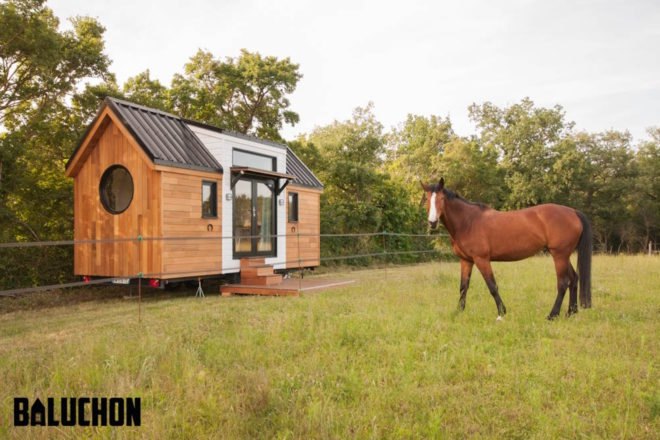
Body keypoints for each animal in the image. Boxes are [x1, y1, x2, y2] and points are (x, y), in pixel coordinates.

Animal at [421, 178, 592, 320]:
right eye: (427, 199)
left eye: (442, 199)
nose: (432, 222)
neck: (468, 222)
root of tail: (573, 212)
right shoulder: (466, 260)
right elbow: (463, 287)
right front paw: (459, 312)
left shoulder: (481, 259)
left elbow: (492, 286)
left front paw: (501, 313)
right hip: (564, 255)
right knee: (574, 279)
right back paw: (571, 312)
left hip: (559, 255)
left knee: (563, 282)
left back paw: (552, 315)